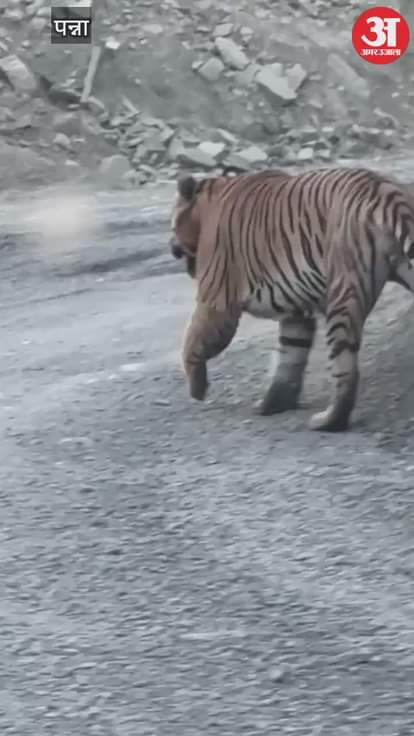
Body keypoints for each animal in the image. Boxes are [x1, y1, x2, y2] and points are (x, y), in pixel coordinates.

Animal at [169, 166, 414, 432]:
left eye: (172, 226)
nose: (170, 246)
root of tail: (386, 191)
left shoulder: (216, 299)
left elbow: (192, 339)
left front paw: (197, 387)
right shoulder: (296, 307)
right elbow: (290, 355)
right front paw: (273, 403)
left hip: (342, 295)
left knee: (345, 367)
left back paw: (328, 421)